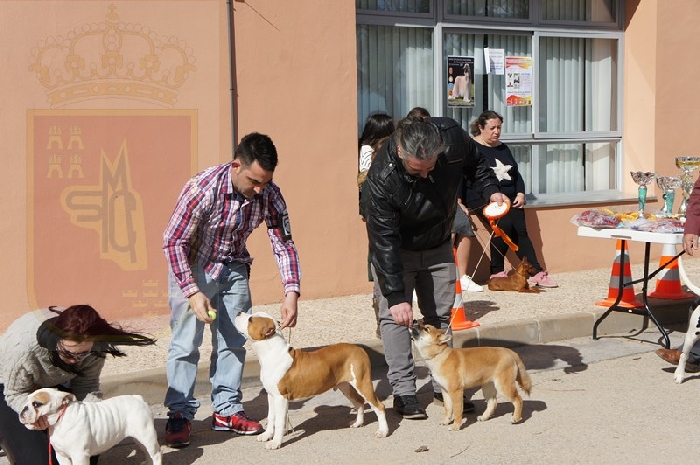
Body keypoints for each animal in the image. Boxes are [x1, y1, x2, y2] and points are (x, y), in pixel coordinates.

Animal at [20, 387, 162, 465]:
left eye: (37, 404)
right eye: (26, 400)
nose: (23, 409)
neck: (60, 421)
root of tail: (138, 398)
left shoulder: (79, 456)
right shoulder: (62, 456)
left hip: (146, 436)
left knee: (156, 453)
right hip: (139, 439)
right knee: (147, 452)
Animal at [234, 311, 389, 449]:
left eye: (251, 319)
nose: (238, 312)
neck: (270, 350)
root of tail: (359, 348)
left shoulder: (280, 397)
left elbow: (279, 422)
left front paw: (275, 443)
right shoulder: (271, 395)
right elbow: (271, 417)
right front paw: (267, 435)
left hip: (362, 382)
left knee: (379, 406)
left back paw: (383, 431)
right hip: (345, 386)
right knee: (359, 402)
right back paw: (358, 423)